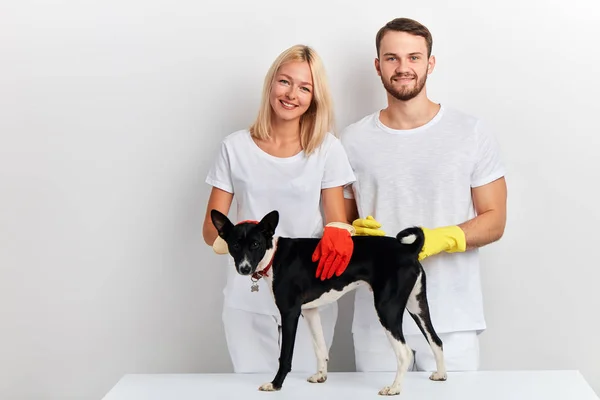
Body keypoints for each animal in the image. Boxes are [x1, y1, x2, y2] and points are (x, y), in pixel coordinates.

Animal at [211, 208, 446, 396]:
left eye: (255, 244)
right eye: (235, 245)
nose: (244, 268)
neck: (274, 256)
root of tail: (408, 249)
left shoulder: (289, 313)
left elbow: (285, 356)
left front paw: (275, 384)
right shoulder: (310, 312)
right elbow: (320, 349)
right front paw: (321, 376)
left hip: (387, 309)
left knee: (404, 352)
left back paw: (394, 388)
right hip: (417, 307)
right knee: (436, 340)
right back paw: (441, 375)